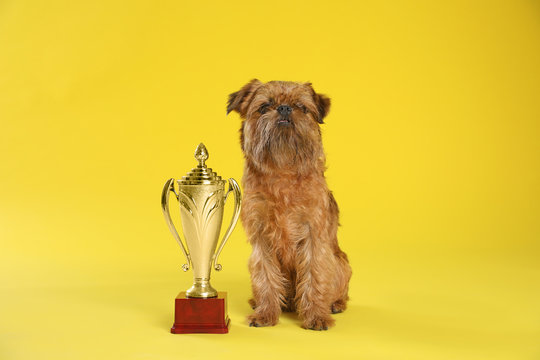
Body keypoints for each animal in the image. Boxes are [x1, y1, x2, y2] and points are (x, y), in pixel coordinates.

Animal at [226, 80, 352, 330]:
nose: (284, 108)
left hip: (342, 263)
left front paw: (316, 316)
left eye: (301, 107)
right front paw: (265, 314)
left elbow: (315, 276)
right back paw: (258, 303)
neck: (282, 170)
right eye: (264, 107)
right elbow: (265, 276)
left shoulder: (314, 236)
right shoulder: (261, 237)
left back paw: (335, 304)